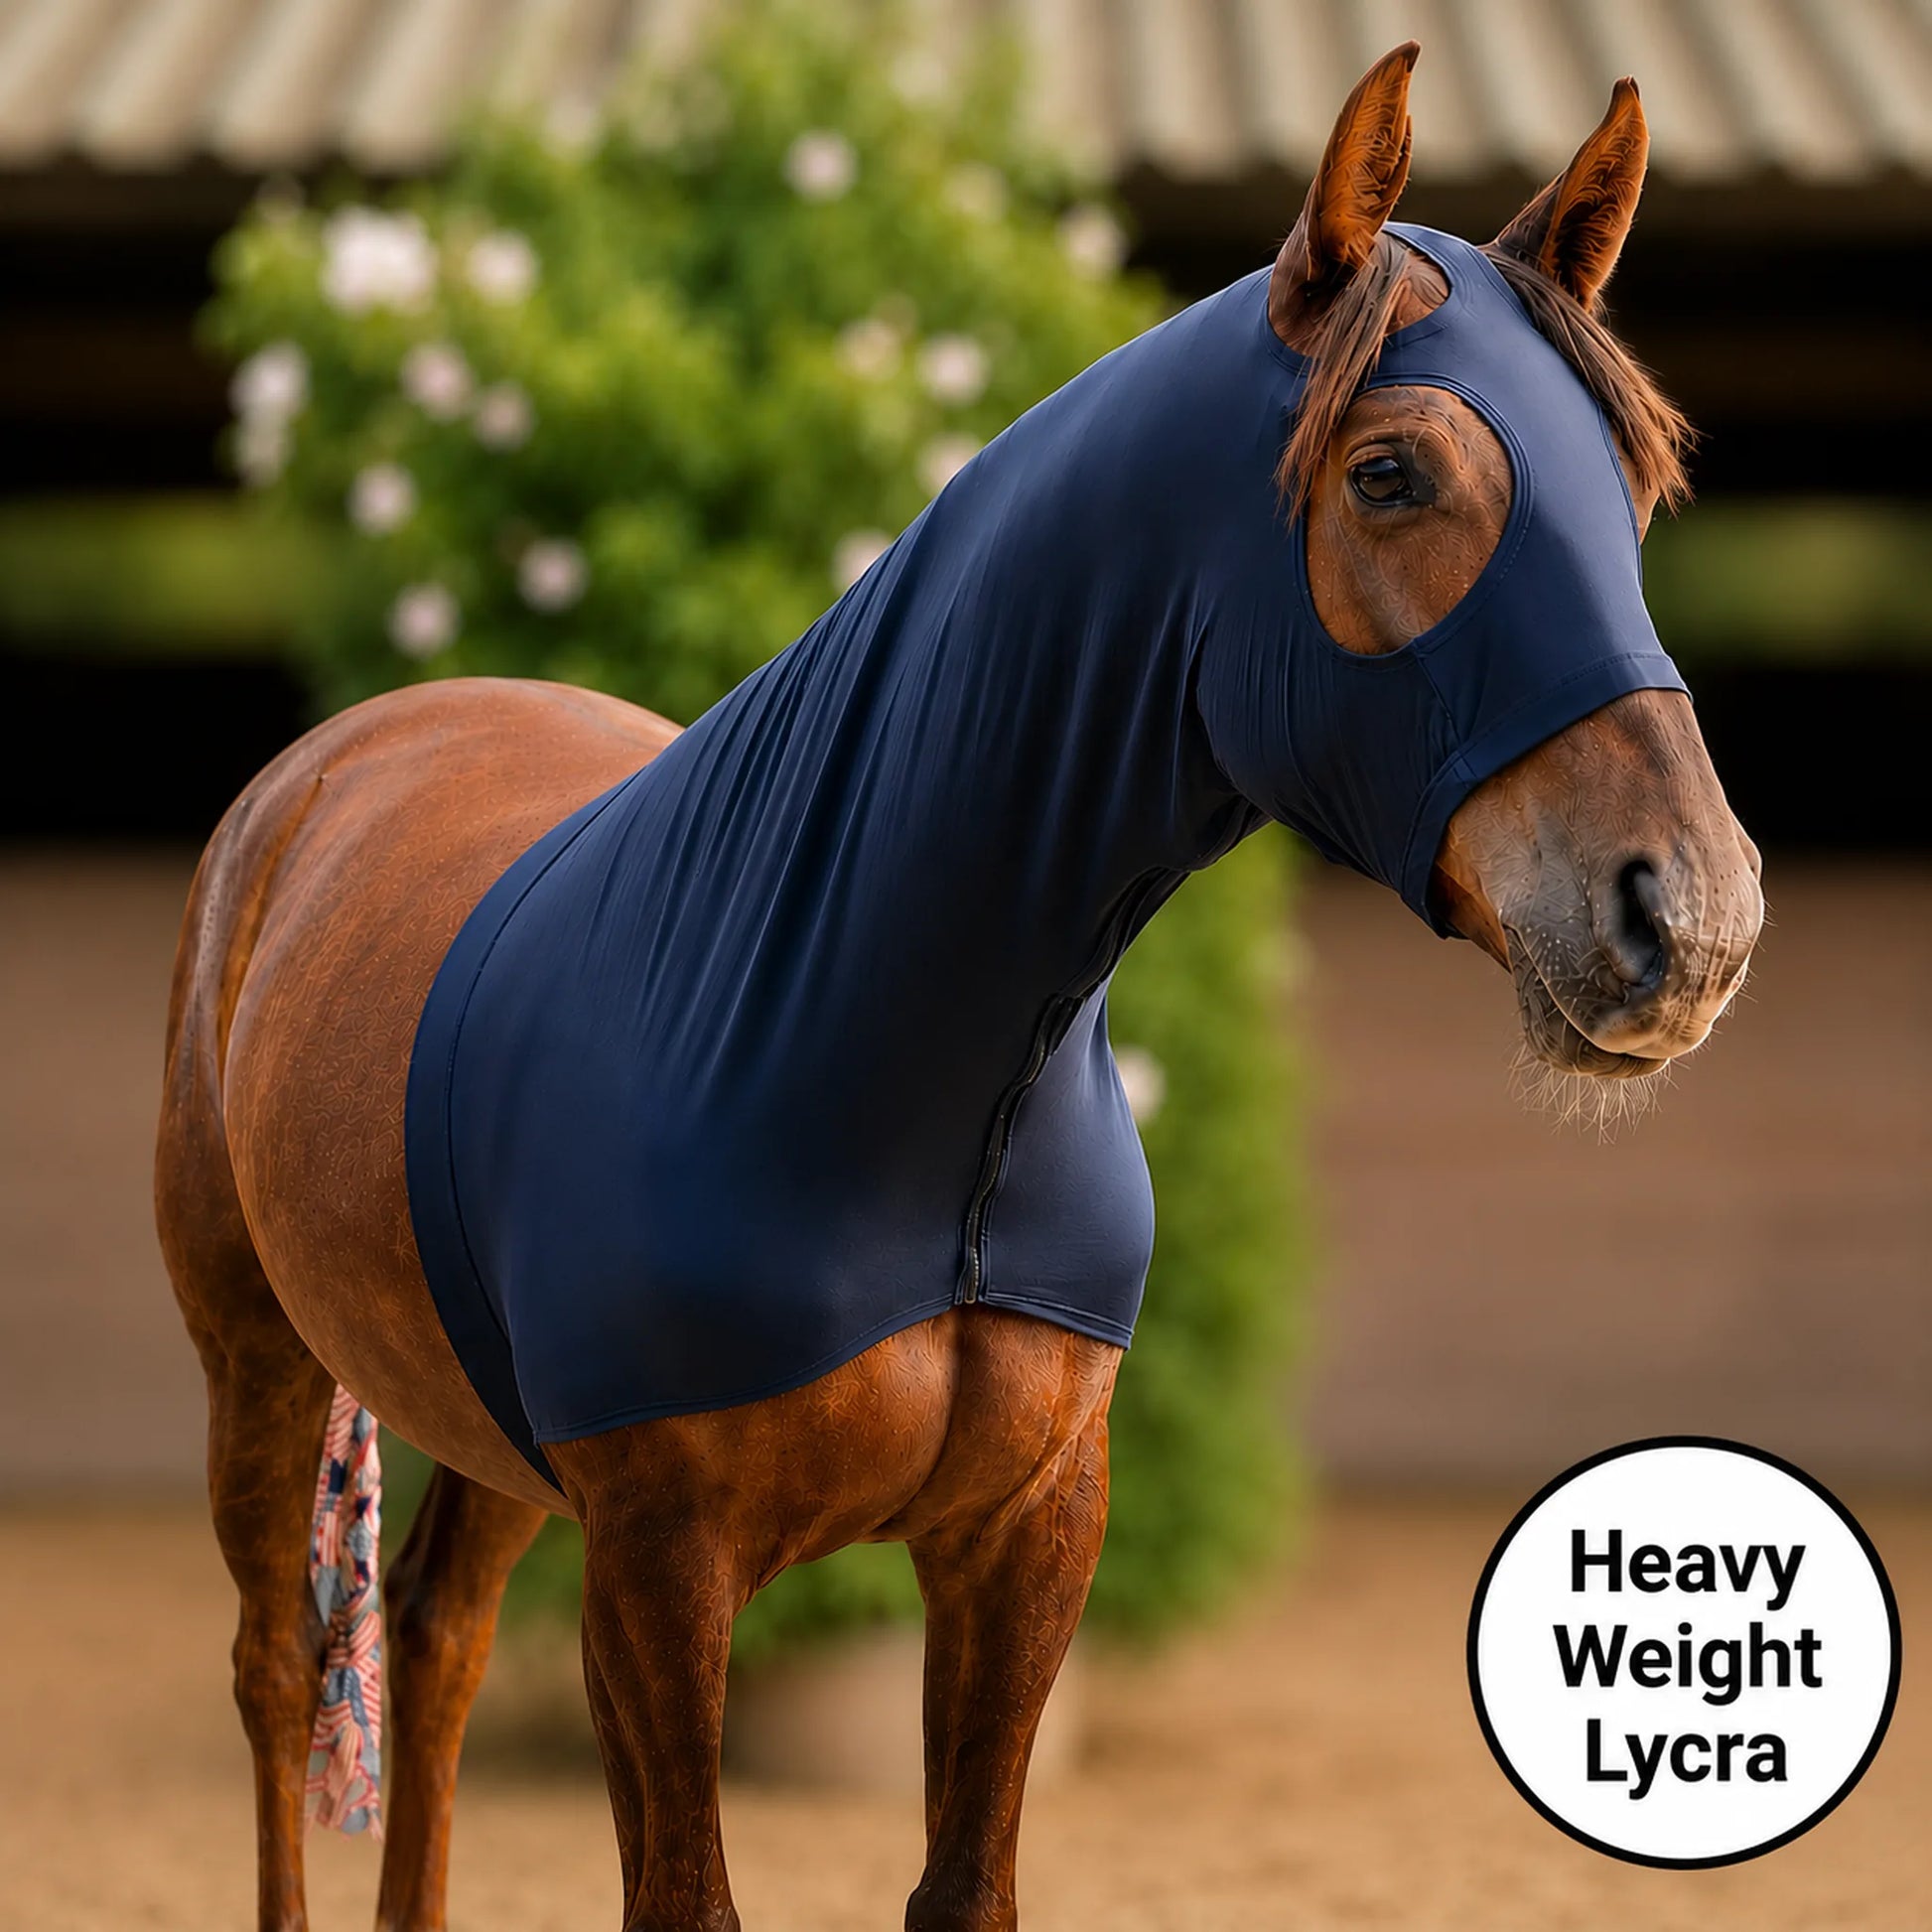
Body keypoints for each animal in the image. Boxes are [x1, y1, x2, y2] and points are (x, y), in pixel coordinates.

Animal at [157, 45, 1761, 1932]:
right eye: (1387, 474)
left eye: (1629, 496)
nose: (1690, 918)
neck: (894, 1070)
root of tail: (344, 760)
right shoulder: (658, 1565)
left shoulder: (1024, 1542)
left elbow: (962, 1883)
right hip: (254, 1356)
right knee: (278, 1668)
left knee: (433, 1635)